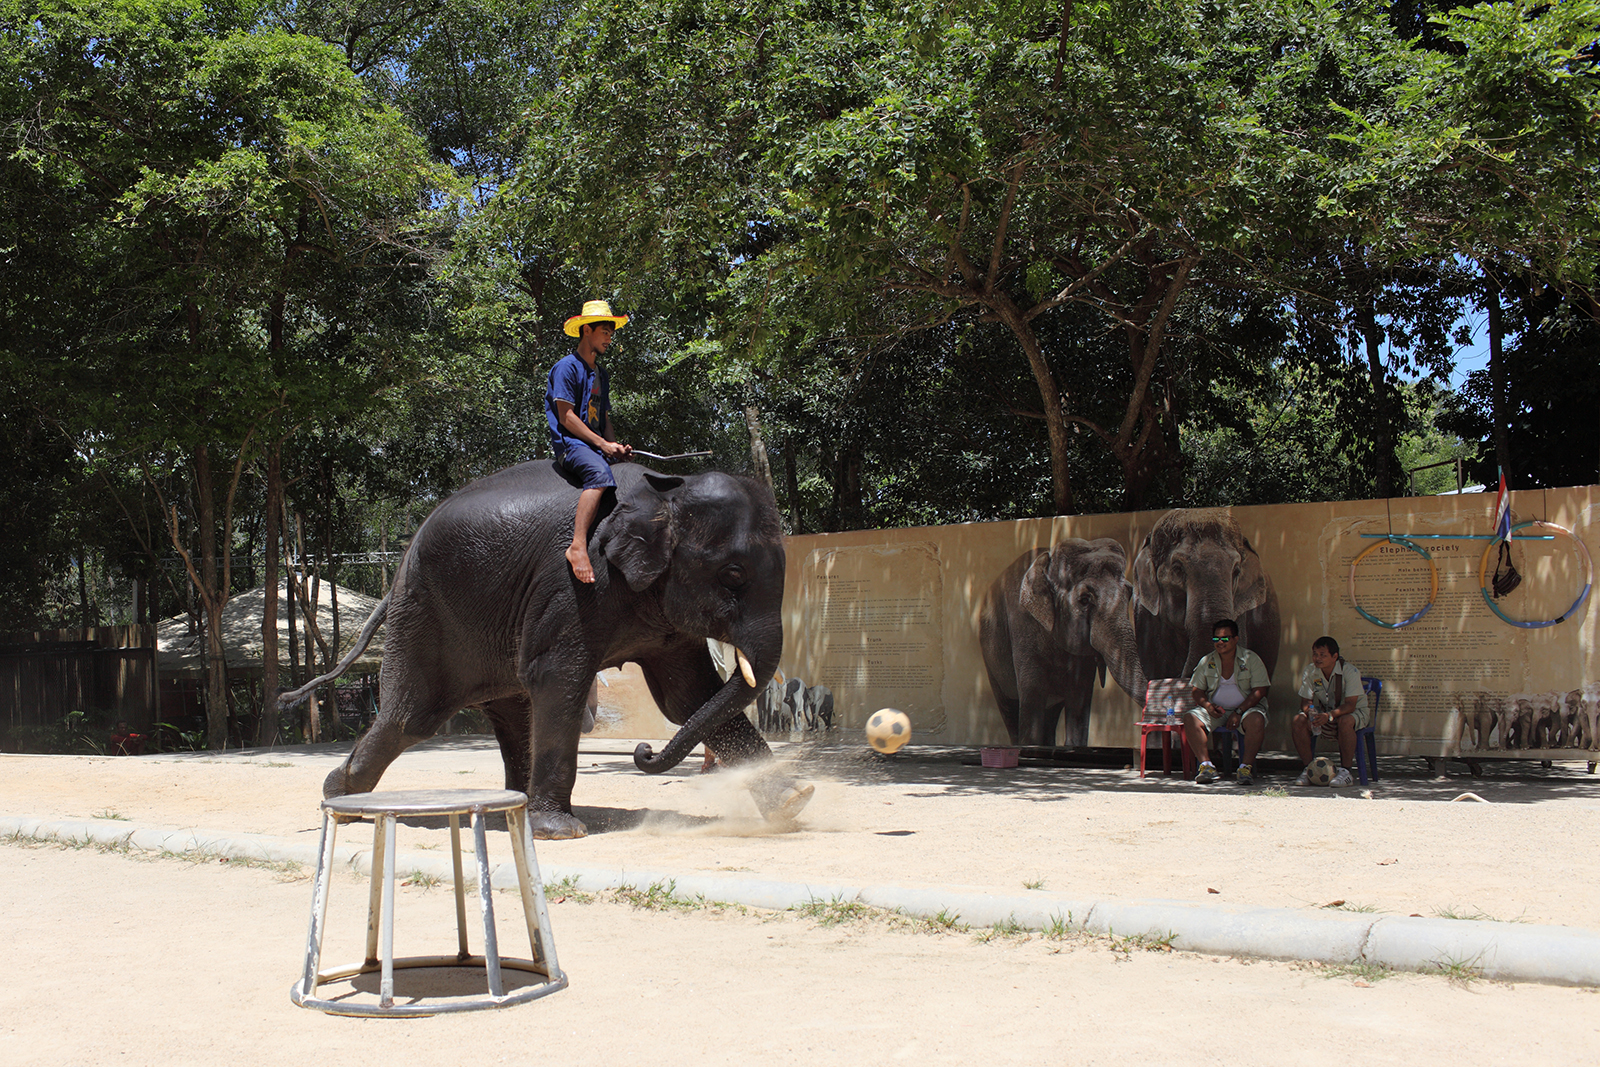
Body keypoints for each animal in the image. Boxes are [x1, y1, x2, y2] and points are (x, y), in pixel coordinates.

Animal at [278, 463, 812, 838]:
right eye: (734, 575)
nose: (642, 751)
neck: (667, 493)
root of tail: (400, 563)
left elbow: (688, 697)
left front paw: (796, 801)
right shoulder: (573, 580)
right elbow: (561, 679)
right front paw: (561, 833)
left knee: (510, 712)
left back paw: (506, 809)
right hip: (423, 612)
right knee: (411, 718)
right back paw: (341, 803)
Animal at [972, 537, 1152, 748]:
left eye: (1130, 593)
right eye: (1084, 600)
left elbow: (1080, 696)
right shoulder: (1021, 623)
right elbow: (1032, 692)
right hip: (991, 662)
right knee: (1008, 707)